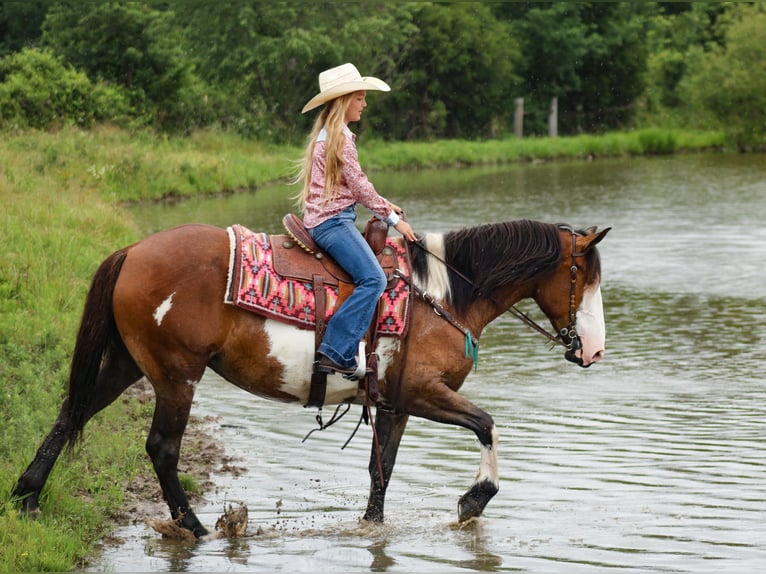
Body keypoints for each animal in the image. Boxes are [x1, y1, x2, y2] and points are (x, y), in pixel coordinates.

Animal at [14, 219, 610, 538]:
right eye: (582, 275)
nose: (595, 350)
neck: (440, 296)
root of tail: (133, 251)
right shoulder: (423, 393)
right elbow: (488, 424)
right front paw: (475, 498)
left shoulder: (394, 403)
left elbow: (380, 471)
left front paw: (371, 527)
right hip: (176, 377)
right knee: (161, 448)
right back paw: (197, 527)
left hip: (127, 365)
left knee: (72, 412)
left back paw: (26, 496)